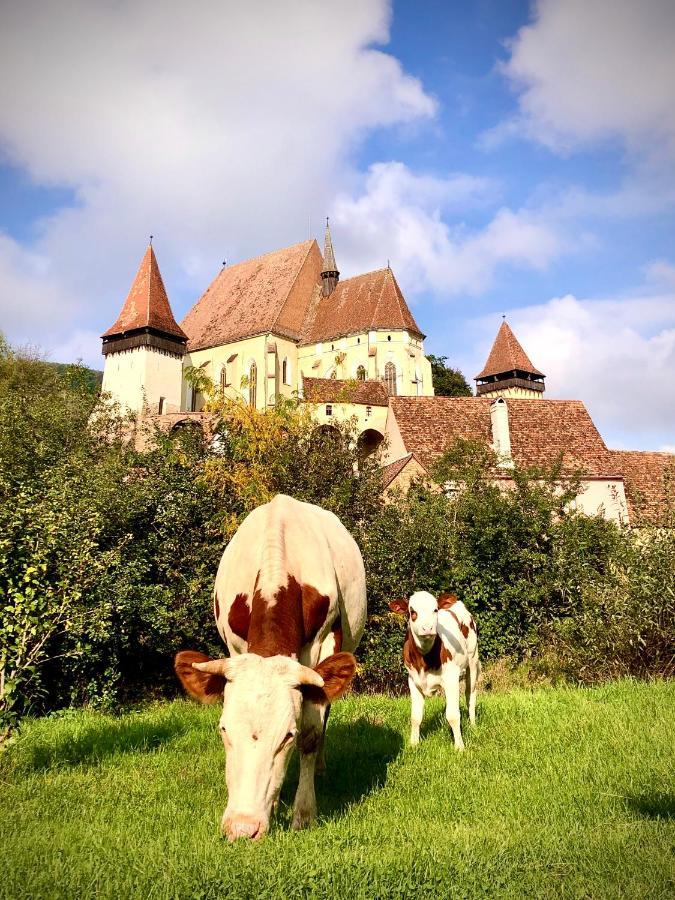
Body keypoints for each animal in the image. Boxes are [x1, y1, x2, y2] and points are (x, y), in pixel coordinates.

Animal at [172, 488, 368, 840]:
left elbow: (312, 731)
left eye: (287, 736)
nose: (243, 827)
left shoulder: (326, 645)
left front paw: (304, 813)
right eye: (224, 729)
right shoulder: (234, 646)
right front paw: (275, 804)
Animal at [390, 596, 480, 748]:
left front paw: (459, 746)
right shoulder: (413, 681)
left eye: (435, 609)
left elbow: (453, 715)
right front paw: (413, 744)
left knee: (470, 694)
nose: (428, 628)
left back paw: (473, 725)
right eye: (412, 612)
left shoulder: (451, 679)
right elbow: (415, 716)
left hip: (473, 660)